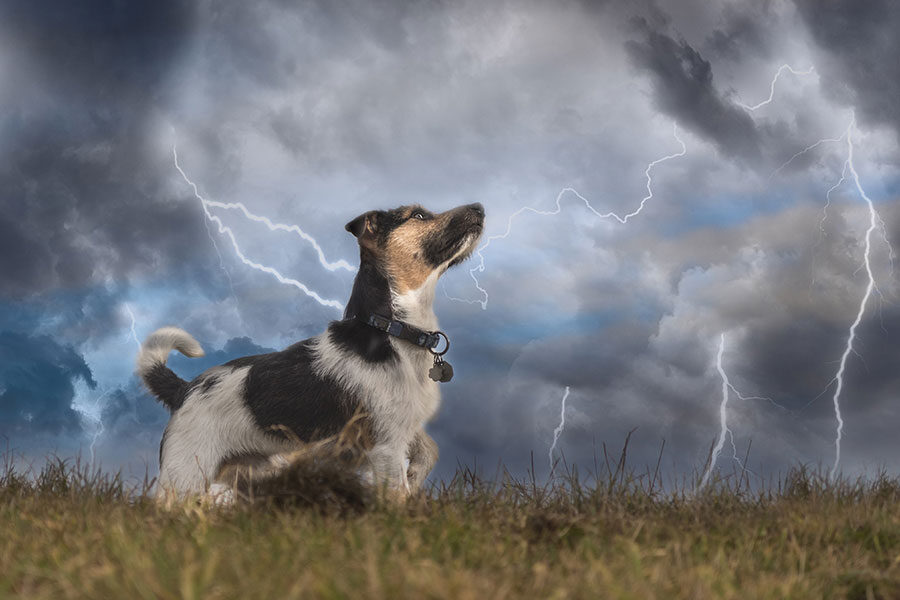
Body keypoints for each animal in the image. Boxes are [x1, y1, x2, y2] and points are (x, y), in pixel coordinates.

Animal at [137, 204, 486, 500]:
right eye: (417, 215)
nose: (480, 208)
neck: (391, 329)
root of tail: (184, 389)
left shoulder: (404, 425)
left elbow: (430, 450)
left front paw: (415, 475)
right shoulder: (384, 444)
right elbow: (396, 494)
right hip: (185, 475)